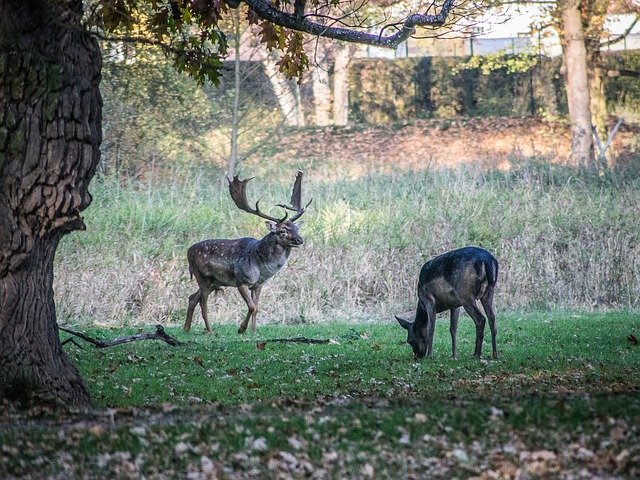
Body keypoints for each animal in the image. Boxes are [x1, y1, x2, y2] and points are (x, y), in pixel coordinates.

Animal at [184, 172, 312, 334]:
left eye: (296, 228)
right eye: (282, 230)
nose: (299, 239)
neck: (261, 266)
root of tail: (188, 251)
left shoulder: (258, 285)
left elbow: (256, 308)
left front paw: (254, 331)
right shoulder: (241, 280)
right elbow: (251, 306)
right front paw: (241, 328)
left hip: (214, 281)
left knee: (192, 298)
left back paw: (186, 329)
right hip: (202, 277)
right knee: (203, 303)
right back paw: (210, 331)